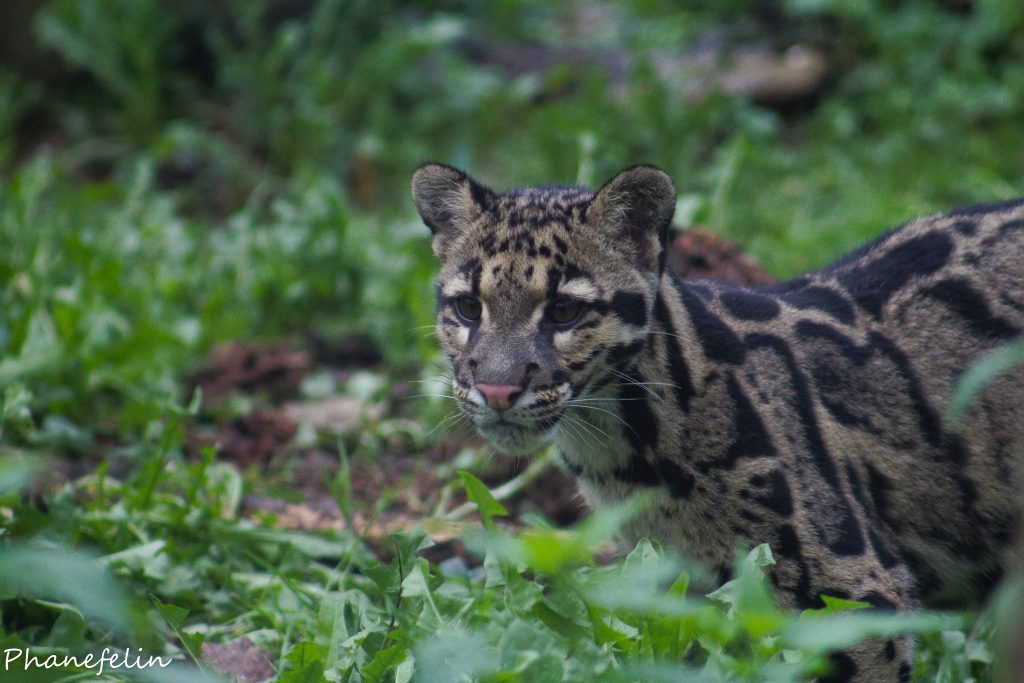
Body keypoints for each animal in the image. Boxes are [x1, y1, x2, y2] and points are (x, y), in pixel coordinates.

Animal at [409, 162, 1024, 679]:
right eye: (467, 307)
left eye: (564, 310)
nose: (496, 389)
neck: (622, 449)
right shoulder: (686, 593)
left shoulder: (857, 598)